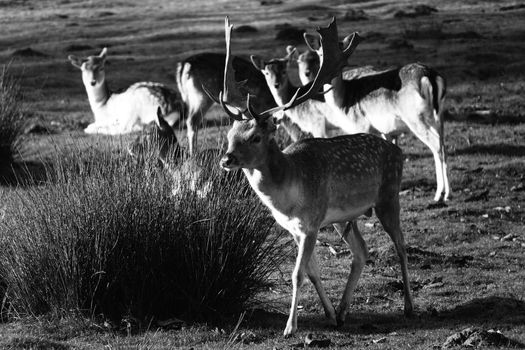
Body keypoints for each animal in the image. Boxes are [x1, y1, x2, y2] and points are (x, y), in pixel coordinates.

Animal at [215, 15, 412, 336]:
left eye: (255, 136)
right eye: (230, 134)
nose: (226, 159)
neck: (287, 197)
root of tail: (397, 150)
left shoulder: (311, 223)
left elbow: (297, 274)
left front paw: (290, 327)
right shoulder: (294, 229)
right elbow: (312, 271)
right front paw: (329, 314)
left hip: (388, 195)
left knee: (401, 245)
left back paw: (408, 306)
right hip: (344, 217)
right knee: (362, 251)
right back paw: (343, 311)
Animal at [296, 34, 448, 202]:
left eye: (343, 57)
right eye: (321, 54)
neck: (342, 101)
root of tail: (430, 77)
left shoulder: (360, 125)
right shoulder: (385, 130)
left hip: (415, 118)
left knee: (436, 145)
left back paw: (438, 194)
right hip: (438, 116)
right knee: (443, 143)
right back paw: (447, 193)